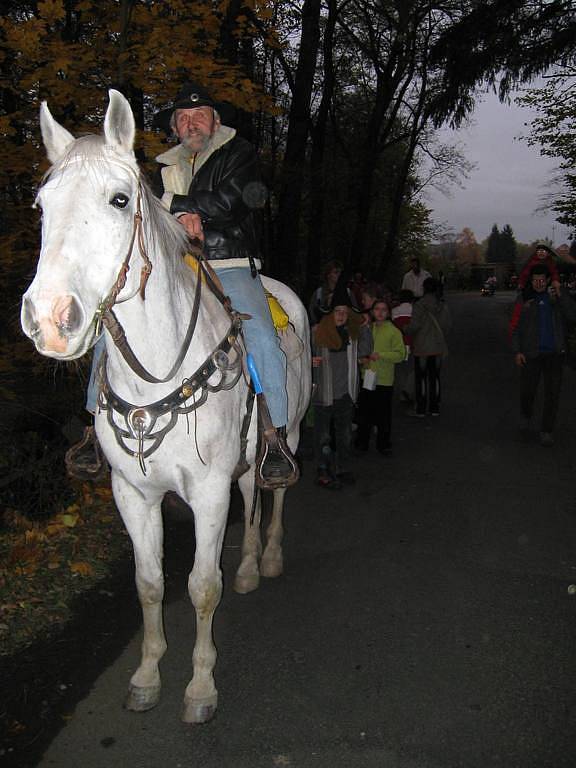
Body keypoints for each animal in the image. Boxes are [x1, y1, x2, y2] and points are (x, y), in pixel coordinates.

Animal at [21, 91, 310, 728]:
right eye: (42, 205)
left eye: (120, 198)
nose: (50, 318)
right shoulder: (133, 491)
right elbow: (150, 582)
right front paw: (148, 675)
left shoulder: (206, 492)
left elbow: (202, 586)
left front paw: (200, 687)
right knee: (251, 492)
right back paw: (248, 567)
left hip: (294, 431)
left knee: (275, 490)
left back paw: (272, 557)